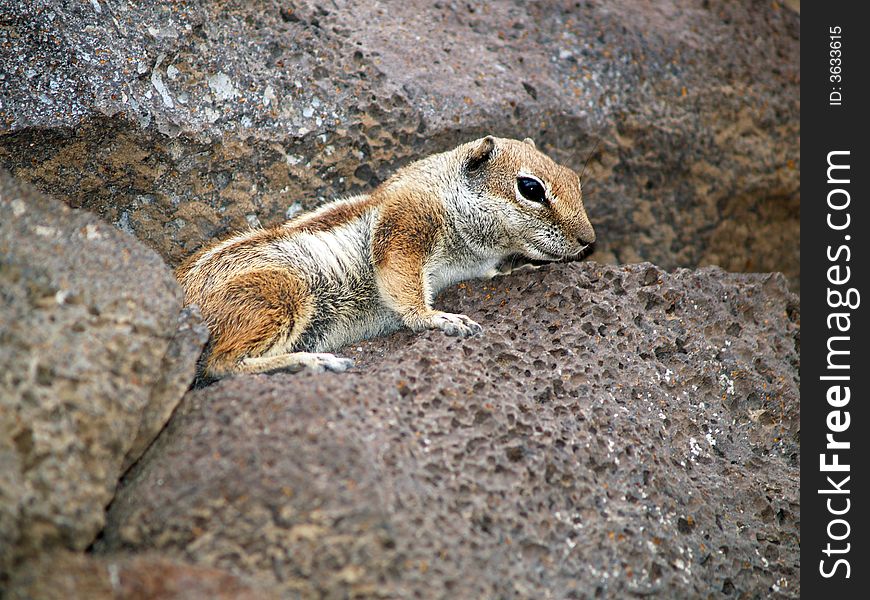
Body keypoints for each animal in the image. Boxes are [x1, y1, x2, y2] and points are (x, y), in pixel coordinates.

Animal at [177, 138, 600, 378]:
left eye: (575, 179)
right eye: (530, 188)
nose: (589, 241)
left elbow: (492, 276)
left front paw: (520, 269)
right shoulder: (407, 219)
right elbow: (401, 278)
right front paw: (437, 318)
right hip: (278, 292)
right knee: (220, 365)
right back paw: (311, 361)